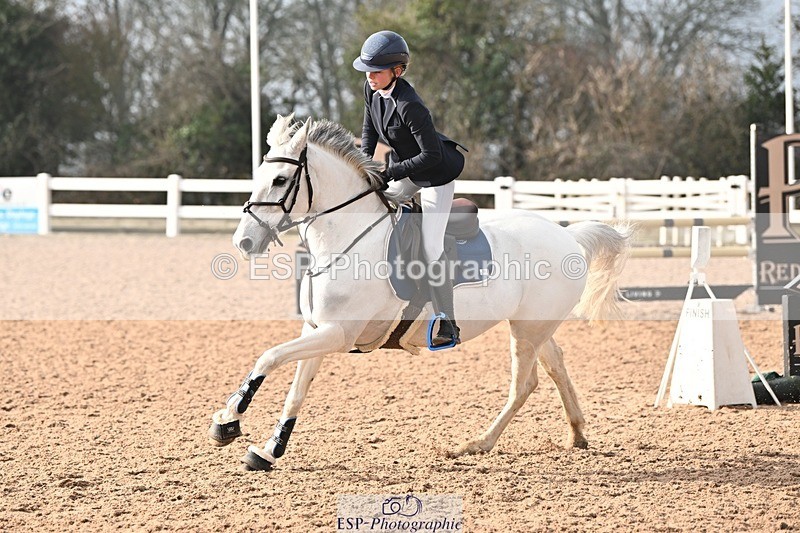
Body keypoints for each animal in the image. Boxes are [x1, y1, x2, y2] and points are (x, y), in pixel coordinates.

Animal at [208, 114, 631, 471]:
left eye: (280, 180)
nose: (244, 242)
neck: (347, 239)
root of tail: (568, 235)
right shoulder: (316, 330)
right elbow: (295, 389)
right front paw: (268, 450)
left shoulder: (337, 334)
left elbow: (269, 357)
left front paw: (228, 422)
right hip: (534, 325)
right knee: (556, 365)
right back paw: (576, 434)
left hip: (526, 330)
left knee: (524, 385)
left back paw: (475, 444)